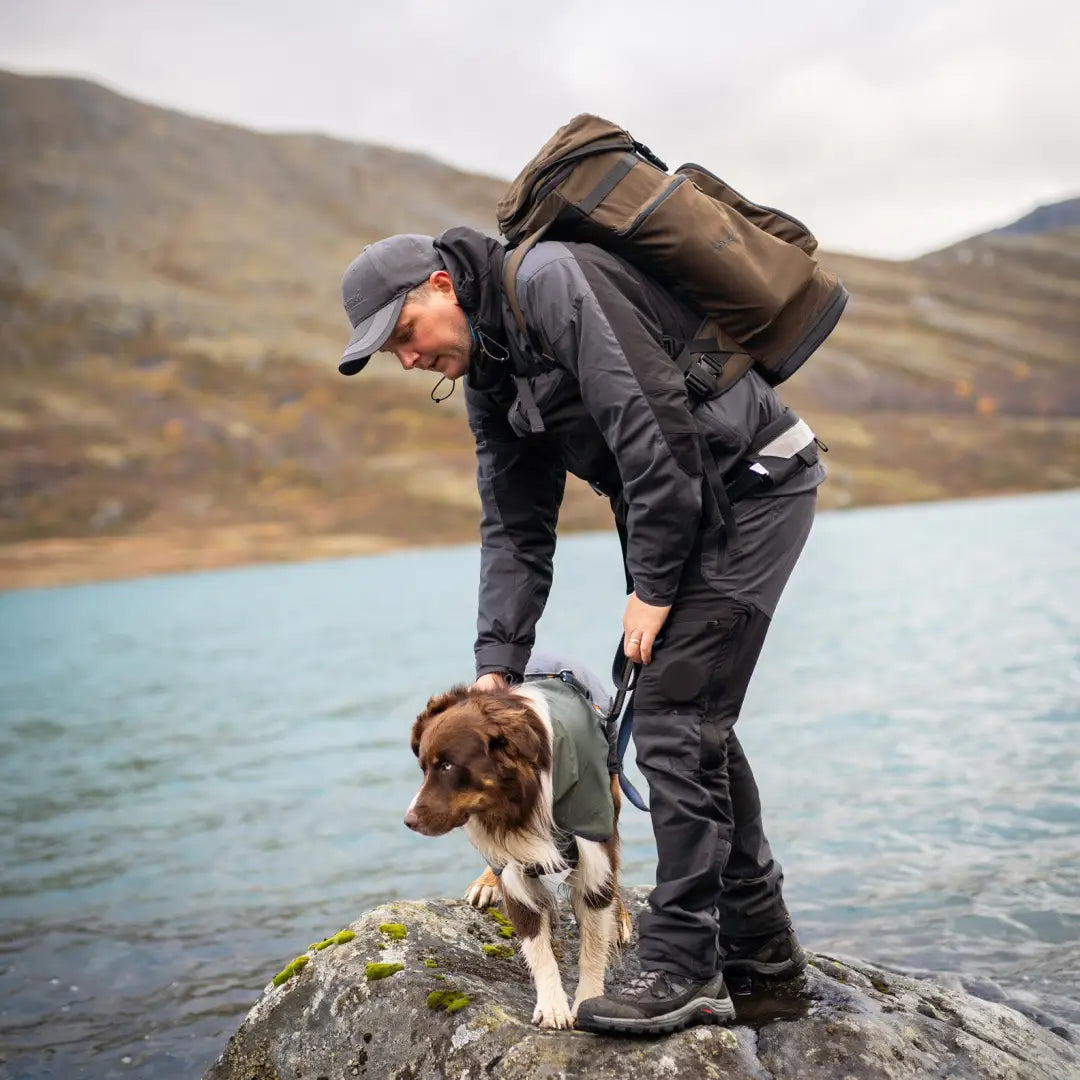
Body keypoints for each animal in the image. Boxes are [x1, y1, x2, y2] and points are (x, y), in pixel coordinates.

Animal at [403, 682, 630, 1028]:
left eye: (447, 765)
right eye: (424, 767)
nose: (409, 821)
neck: (518, 799)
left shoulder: (593, 849)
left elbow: (593, 945)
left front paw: (588, 1000)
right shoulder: (512, 864)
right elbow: (535, 941)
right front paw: (552, 1006)